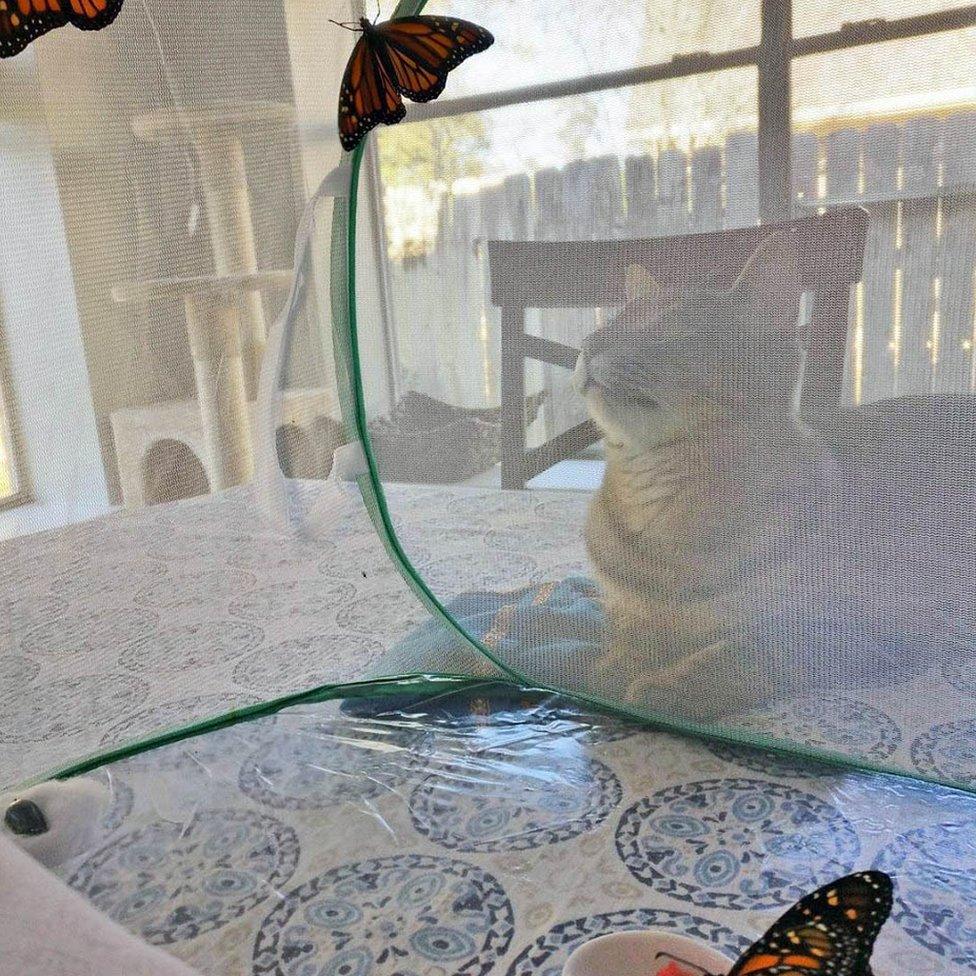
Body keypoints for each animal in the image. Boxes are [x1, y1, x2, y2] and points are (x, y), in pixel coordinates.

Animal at [576, 233, 976, 720]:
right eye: (612, 321)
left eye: (669, 326)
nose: (588, 342)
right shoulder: (624, 610)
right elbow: (629, 638)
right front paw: (617, 666)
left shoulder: (847, 629)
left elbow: (745, 650)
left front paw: (668, 684)